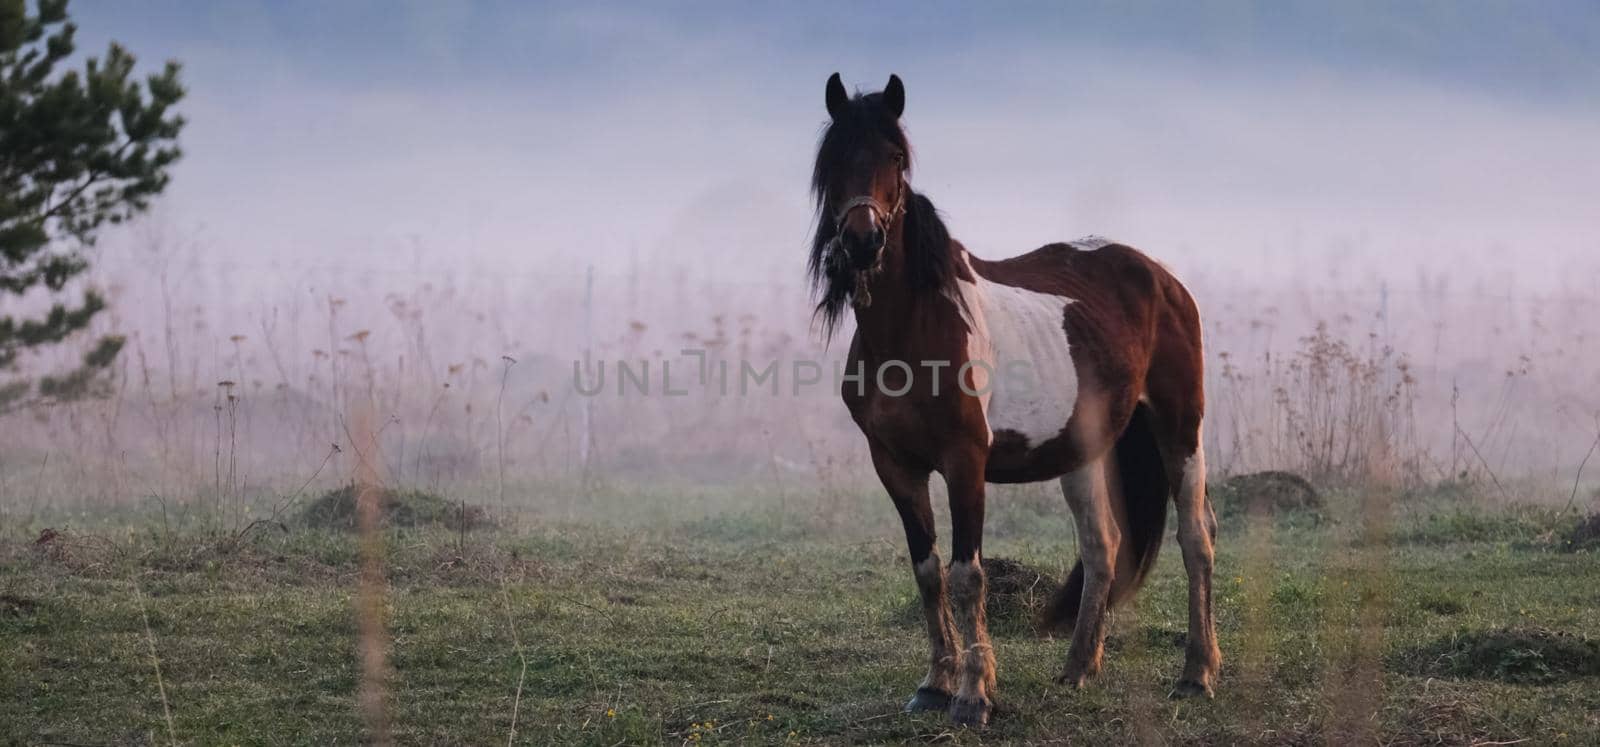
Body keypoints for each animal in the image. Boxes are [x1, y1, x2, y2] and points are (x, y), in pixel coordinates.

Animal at [806, 74, 1216, 726]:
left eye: (895, 157)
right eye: (832, 159)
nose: (863, 241)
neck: (913, 327)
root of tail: (1161, 278)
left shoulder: (965, 462)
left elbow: (967, 575)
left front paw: (974, 697)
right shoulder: (895, 465)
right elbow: (928, 572)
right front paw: (934, 685)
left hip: (1180, 427)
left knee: (1196, 539)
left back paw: (1197, 674)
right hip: (1083, 451)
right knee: (1102, 547)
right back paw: (1078, 668)